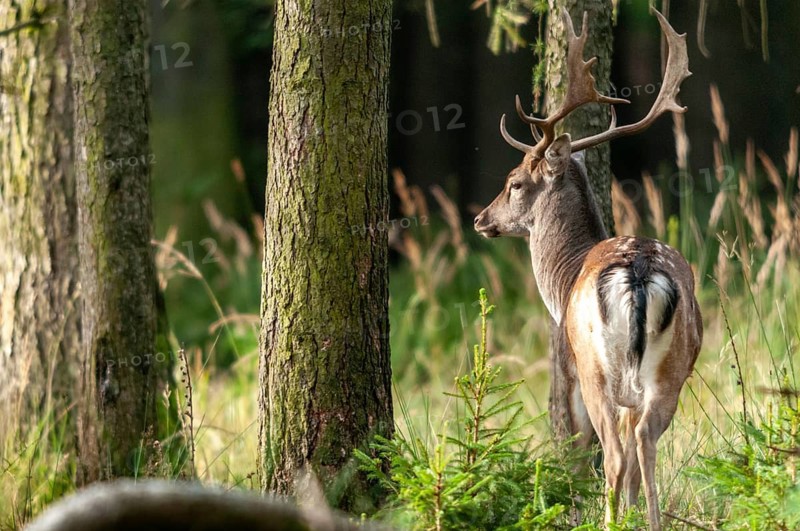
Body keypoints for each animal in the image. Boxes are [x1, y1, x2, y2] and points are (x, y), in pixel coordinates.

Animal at [473, 8, 702, 530]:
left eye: (514, 183)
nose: (481, 219)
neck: (565, 277)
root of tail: (638, 271)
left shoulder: (572, 367)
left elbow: (580, 457)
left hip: (597, 369)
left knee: (616, 454)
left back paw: (608, 521)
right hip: (672, 369)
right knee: (645, 443)